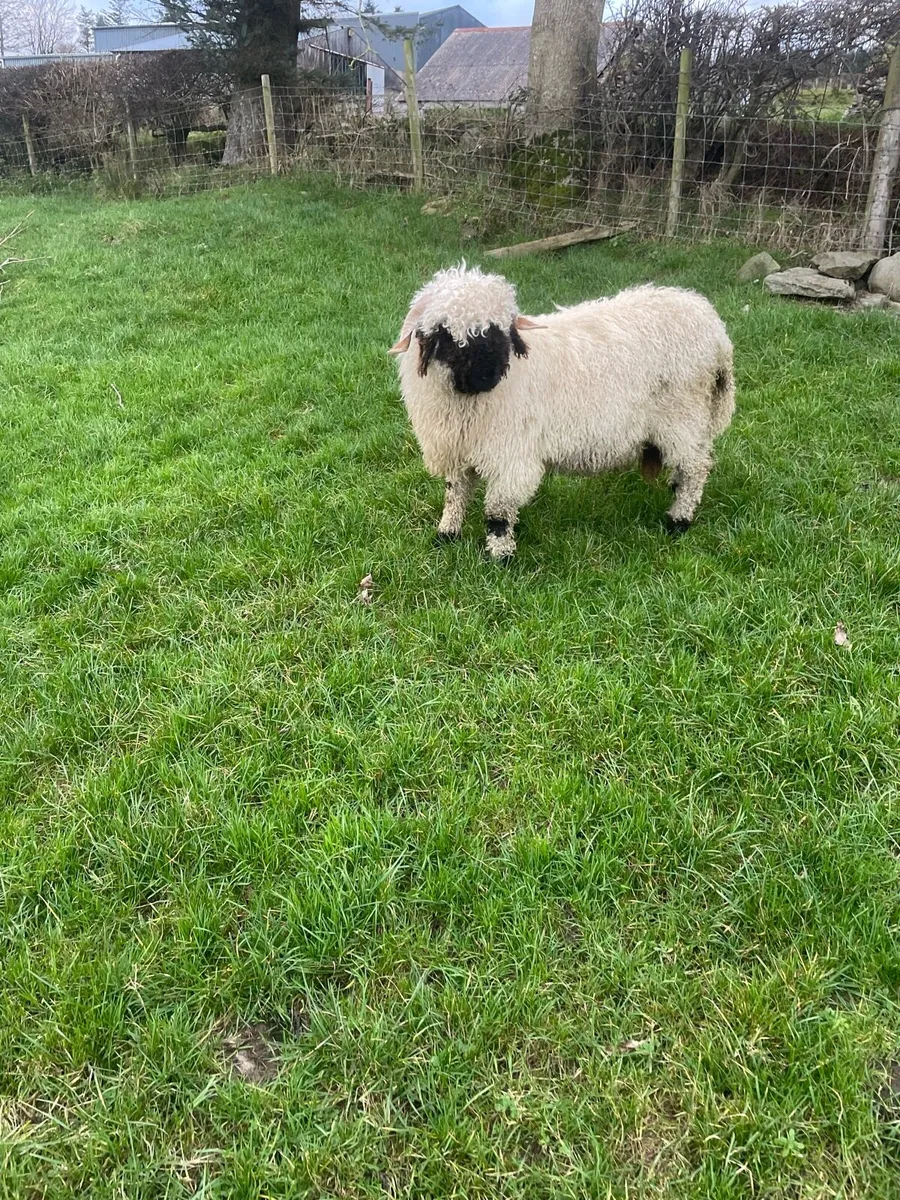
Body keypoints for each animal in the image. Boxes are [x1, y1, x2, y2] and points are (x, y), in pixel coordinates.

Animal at [389, 262, 735, 561]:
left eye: (502, 331)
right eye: (445, 335)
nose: (489, 376)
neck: (465, 401)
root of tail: (713, 326)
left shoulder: (510, 453)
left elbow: (499, 511)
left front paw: (500, 557)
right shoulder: (460, 448)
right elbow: (455, 494)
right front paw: (446, 535)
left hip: (683, 416)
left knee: (696, 468)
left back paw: (678, 520)